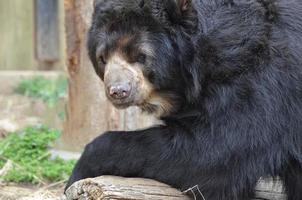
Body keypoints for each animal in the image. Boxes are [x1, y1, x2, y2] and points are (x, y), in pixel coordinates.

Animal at [67, 0, 302, 199]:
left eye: (141, 56)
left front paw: (78, 172)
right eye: (102, 58)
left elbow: (214, 151)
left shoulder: (266, 76)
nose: (118, 91)